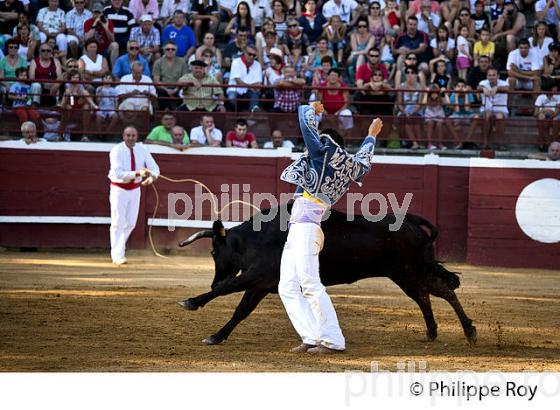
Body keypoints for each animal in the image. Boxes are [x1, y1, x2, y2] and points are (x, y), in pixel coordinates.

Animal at [179, 208, 476, 346]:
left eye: (214, 250)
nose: (213, 280)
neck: (258, 236)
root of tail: (411, 221)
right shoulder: (261, 283)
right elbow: (241, 311)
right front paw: (217, 336)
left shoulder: (258, 276)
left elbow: (229, 289)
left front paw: (192, 302)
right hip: (405, 275)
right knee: (427, 295)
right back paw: (433, 331)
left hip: (410, 270)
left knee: (443, 290)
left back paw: (469, 331)